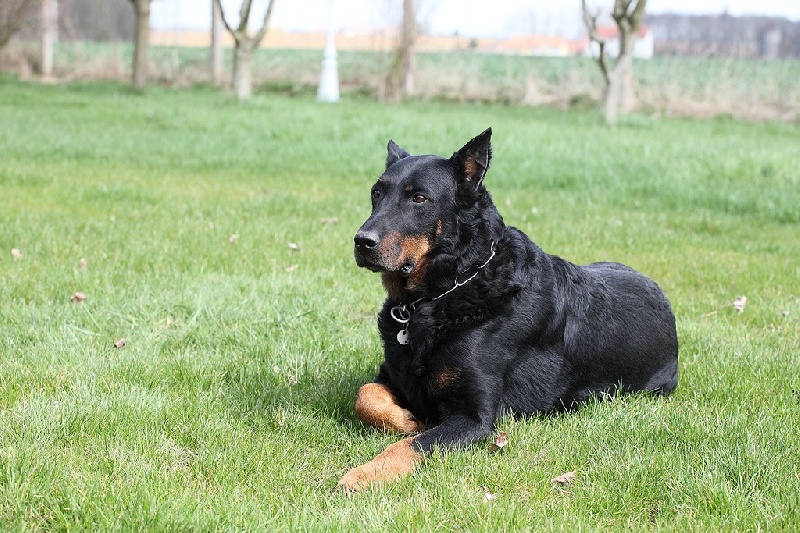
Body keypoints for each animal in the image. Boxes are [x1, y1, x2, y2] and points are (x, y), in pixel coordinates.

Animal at [334, 128, 680, 490]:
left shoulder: (474, 417)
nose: (362, 241)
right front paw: (406, 418)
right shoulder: (392, 374)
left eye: (419, 199)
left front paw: (365, 474)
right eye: (376, 193)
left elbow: (411, 445)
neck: (449, 288)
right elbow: (365, 395)